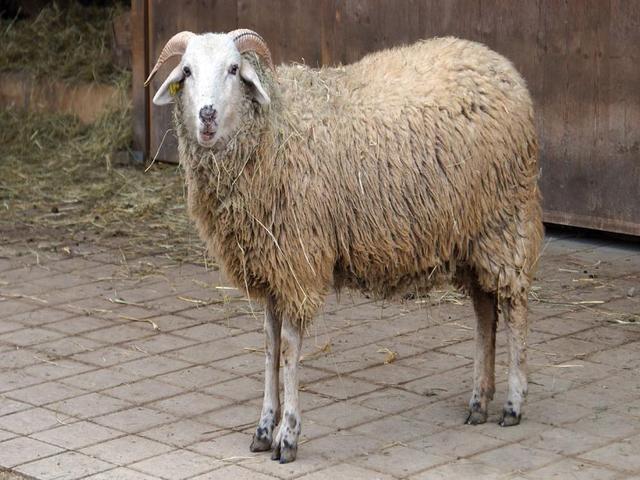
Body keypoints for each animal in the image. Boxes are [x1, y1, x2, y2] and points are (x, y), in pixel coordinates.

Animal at [146, 29, 544, 463]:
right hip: (471, 237)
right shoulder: (272, 268)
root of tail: (499, 64)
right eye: (187, 70)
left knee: (515, 307)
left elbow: (289, 351)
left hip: (505, 222)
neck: (273, 128)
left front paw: (288, 436)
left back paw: (513, 403)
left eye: (234, 69)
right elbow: (269, 347)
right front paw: (264, 428)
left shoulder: (298, 263)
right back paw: (479, 401)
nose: (207, 115)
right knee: (485, 310)